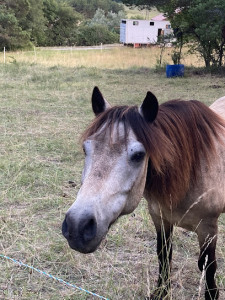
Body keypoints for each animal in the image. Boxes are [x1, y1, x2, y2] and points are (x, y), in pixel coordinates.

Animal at [62, 87, 225, 300]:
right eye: (85, 149)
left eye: (139, 155)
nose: (78, 227)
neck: (192, 170)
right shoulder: (160, 218)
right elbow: (163, 255)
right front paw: (161, 292)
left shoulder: (208, 228)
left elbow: (208, 266)